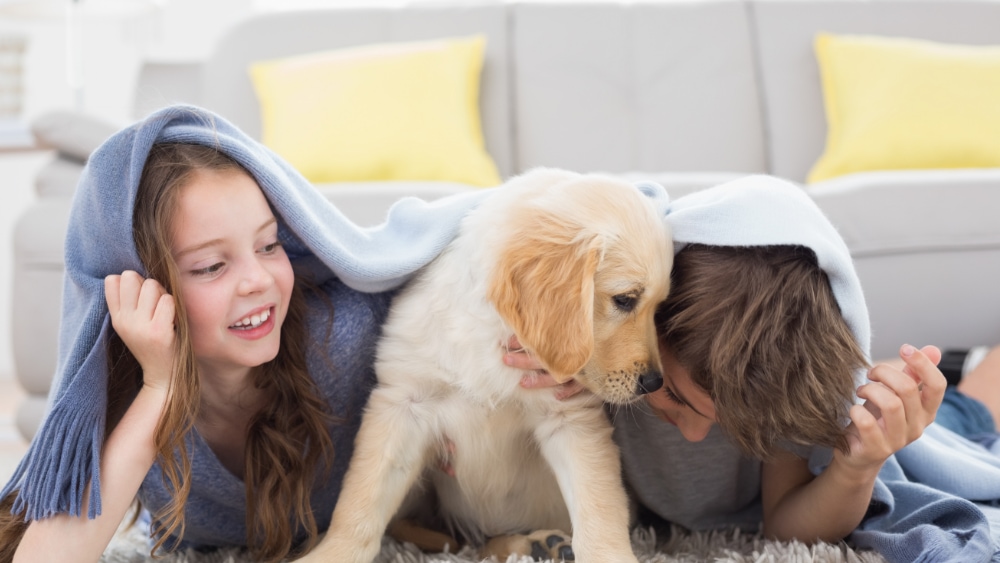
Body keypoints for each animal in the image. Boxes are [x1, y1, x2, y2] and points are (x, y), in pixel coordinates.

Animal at [302, 169, 672, 563]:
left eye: (658, 307)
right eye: (625, 300)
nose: (654, 382)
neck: (493, 333)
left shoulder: (571, 418)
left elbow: (599, 511)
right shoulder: (402, 405)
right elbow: (361, 500)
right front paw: (330, 553)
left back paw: (541, 544)